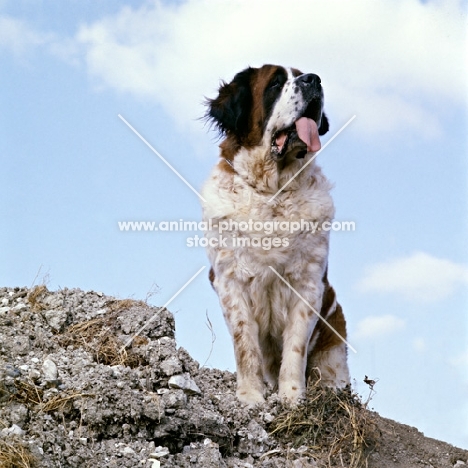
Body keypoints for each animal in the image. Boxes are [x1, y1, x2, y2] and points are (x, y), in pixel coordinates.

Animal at [201, 64, 352, 404]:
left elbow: (294, 348)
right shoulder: (229, 281)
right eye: (275, 83)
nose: (314, 80)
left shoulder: (308, 284)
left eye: (302, 74)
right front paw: (250, 396)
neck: (272, 191)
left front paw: (292, 398)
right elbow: (245, 344)